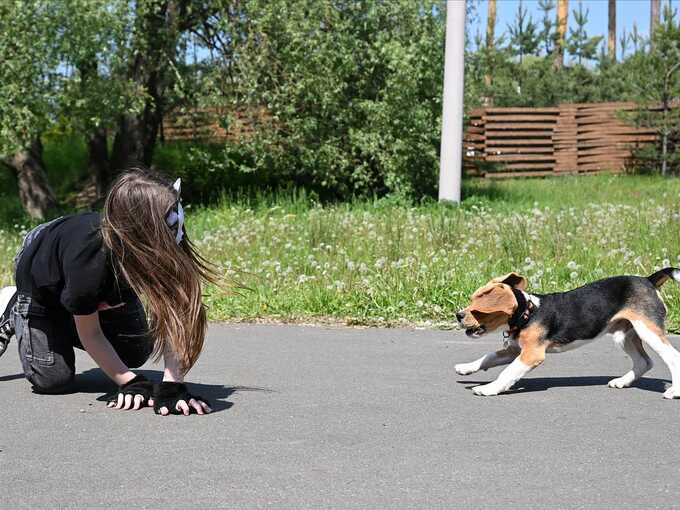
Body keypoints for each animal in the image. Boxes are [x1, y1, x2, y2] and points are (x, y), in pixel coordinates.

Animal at [454, 266, 680, 398]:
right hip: (624, 335)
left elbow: (507, 372)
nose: (458, 315)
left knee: (672, 358)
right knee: (644, 362)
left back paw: (674, 391)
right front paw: (466, 368)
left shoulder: (531, 354)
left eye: (477, 309)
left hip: (647, 330)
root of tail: (648, 279)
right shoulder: (514, 350)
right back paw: (622, 382)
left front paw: (489, 388)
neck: (528, 313)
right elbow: (488, 357)